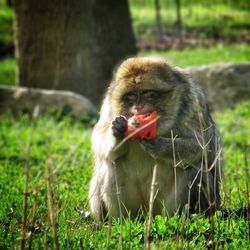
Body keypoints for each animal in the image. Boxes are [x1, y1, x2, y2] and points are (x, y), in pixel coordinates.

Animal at [88, 56, 223, 221]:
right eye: (131, 96)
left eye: (147, 93)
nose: (138, 108)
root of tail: (148, 214)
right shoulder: (108, 105)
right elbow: (100, 142)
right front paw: (118, 133)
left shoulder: (193, 101)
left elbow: (203, 148)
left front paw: (161, 146)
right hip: (134, 209)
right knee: (111, 163)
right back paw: (118, 222)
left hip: (166, 208)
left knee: (195, 168)